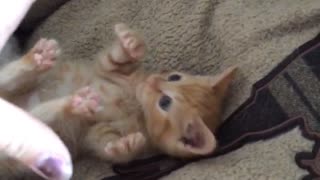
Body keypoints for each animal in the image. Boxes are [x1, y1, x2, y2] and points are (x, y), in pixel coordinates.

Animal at [0, 23, 235, 178]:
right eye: (174, 77)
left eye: (165, 103)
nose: (152, 80)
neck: (134, 102)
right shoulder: (108, 71)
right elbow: (114, 60)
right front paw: (131, 44)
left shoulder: (95, 132)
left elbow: (105, 144)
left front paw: (125, 146)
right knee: (8, 80)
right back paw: (37, 59)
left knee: (37, 118)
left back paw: (74, 103)